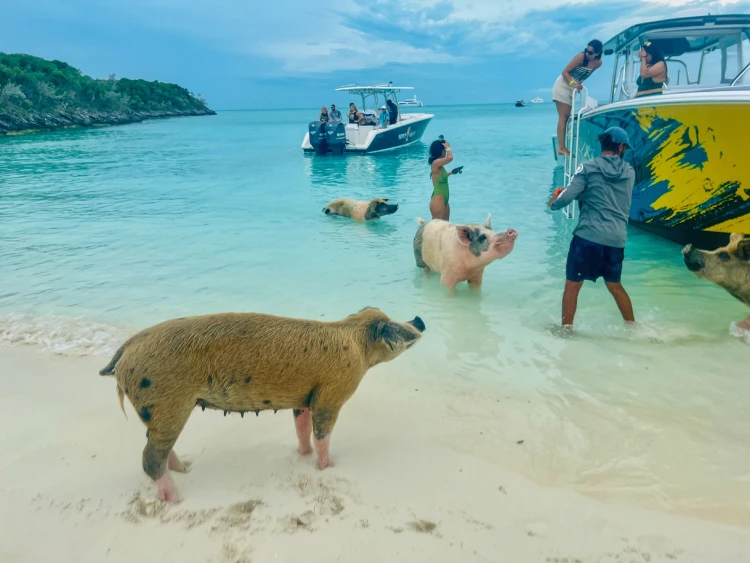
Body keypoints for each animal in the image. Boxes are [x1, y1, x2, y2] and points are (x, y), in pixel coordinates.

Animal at [98, 307, 425, 503]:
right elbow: (322, 433)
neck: (357, 344)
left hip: (160, 413)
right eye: (392, 327)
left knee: (156, 445)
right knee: (149, 457)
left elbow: (301, 427)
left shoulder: (304, 398)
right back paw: (176, 498)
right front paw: (327, 467)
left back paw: (185, 469)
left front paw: (303, 455)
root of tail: (125, 350)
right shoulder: (330, 396)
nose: (418, 319)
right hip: (167, 403)